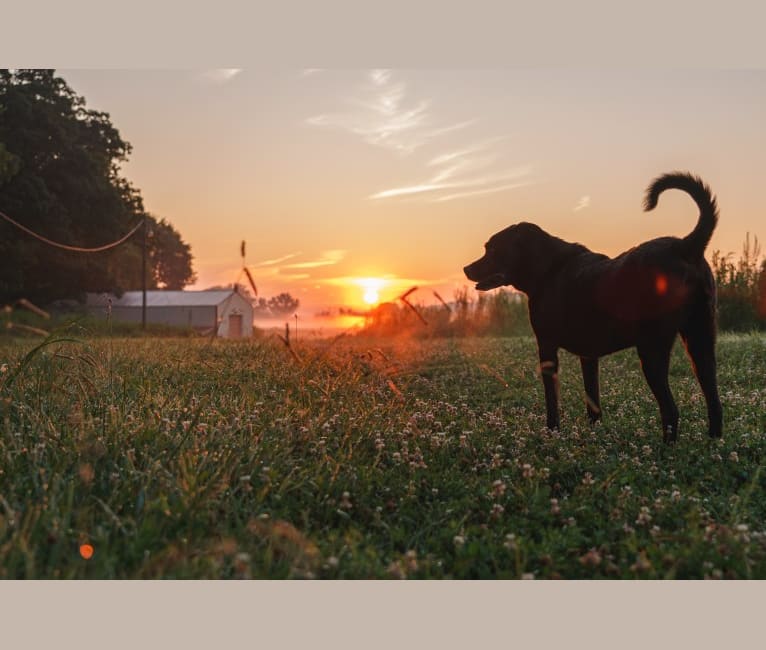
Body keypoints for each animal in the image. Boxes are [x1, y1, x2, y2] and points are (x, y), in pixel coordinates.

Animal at [464, 172, 724, 440]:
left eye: (492, 248)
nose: (466, 269)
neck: (548, 268)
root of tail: (685, 246)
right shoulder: (589, 355)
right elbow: (593, 400)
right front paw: (594, 432)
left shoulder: (546, 346)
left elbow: (552, 400)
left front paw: (552, 432)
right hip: (700, 340)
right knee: (714, 402)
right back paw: (713, 441)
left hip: (653, 347)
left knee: (671, 410)